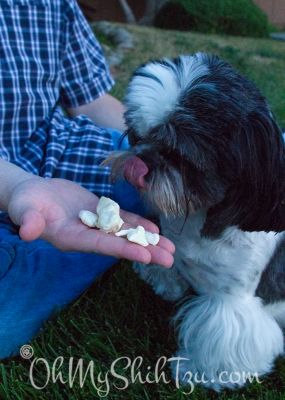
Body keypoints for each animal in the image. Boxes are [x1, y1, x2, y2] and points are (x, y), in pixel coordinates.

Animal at [108, 53, 284, 390]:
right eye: (137, 133)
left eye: (180, 154)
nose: (141, 160)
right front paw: (164, 282)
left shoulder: (232, 305)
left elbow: (221, 339)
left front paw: (197, 371)